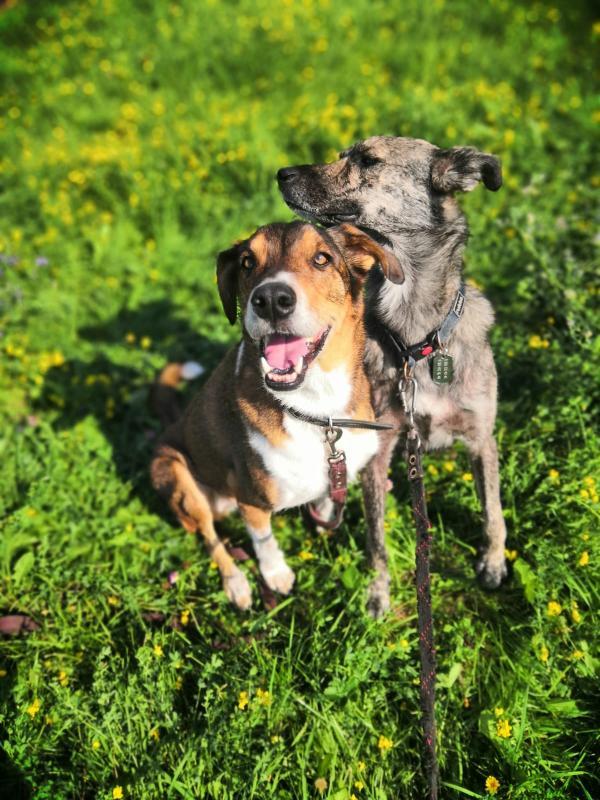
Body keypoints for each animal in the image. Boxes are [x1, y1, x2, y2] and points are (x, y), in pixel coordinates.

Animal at [151, 219, 404, 608]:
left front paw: (323, 520)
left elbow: (326, 500)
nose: (271, 300)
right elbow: (263, 539)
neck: (317, 409)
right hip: (174, 474)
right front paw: (276, 574)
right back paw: (237, 585)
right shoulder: (250, 498)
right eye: (246, 262)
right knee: (211, 538)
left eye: (322, 258)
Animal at [276, 138, 506, 616]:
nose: (281, 173)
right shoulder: (378, 450)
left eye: (367, 160)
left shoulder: (482, 436)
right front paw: (378, 592)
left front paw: (494, 561)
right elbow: (376, 537)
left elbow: (493, 508)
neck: (415, 341)